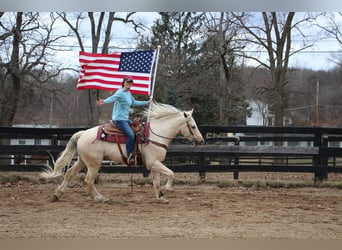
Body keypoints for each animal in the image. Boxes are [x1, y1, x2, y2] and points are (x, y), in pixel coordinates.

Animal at [41, 102, 204, 204]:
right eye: (193, 126)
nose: (201, 140)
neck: (156, 135)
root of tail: (83, 134)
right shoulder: (153, 163)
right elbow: (171, 173)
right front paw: (166, 190)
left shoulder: (154, 165)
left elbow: (157, 183)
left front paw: (161, 197)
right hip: (94, 164)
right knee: (88, 181)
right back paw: (101, 198)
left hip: (82, 160)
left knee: (69, 174)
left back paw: (57, 195)